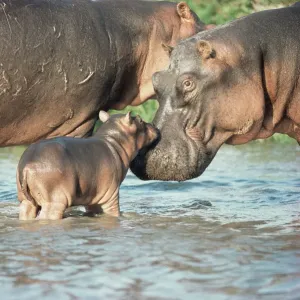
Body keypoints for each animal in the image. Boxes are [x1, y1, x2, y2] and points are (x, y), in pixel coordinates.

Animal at [16, 111, 157, 219]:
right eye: (140, 120)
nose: (155, 126)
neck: (113, 141)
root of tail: (26, 166)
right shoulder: (111, 196)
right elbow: (114, 213)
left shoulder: (94, 199)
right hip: (54, 201)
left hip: (25, 200)